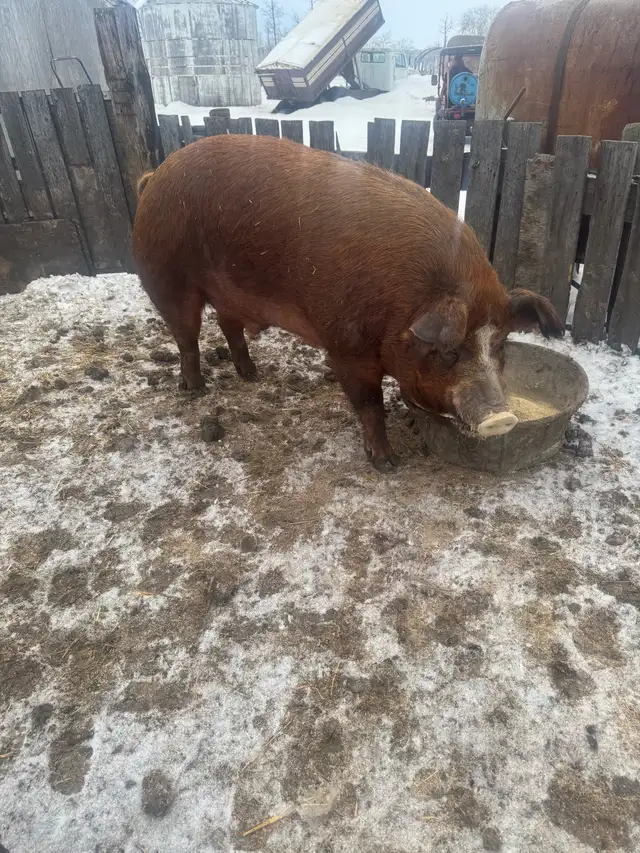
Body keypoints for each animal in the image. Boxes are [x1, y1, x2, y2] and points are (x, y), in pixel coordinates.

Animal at [132, 134, 564, 471]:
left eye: (501, 344)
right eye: (449, 351)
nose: (503, 418)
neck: (404, 303)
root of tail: (155, 176)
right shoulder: (345, 348)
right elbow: (370, 405)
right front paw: (387, 464)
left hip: (227, 290)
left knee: (228, 325)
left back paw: (251, 375)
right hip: (166, 278)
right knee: (186, 337)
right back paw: (197, 390)